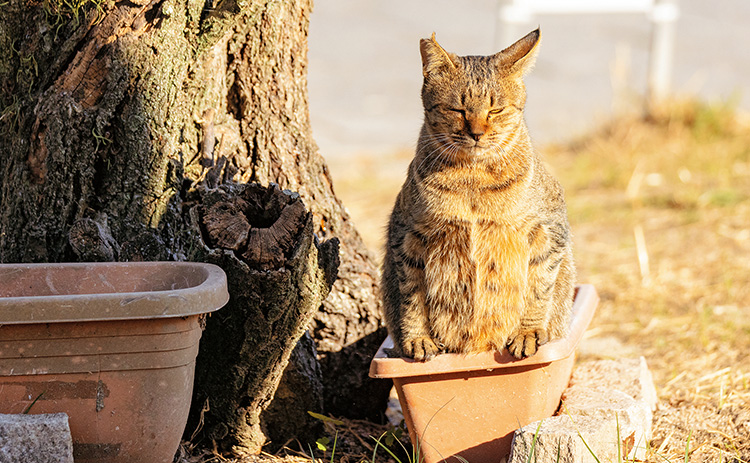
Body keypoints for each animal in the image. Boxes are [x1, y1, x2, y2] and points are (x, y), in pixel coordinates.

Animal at [382, 29, 576, 362]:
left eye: (495, 109)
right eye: (457, 109)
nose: (477, 133)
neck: (473, 178)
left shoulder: (550, 231)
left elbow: (538, 288)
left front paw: (527, 332)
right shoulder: (405, 233)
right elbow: (412, 296)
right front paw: (418, 337)